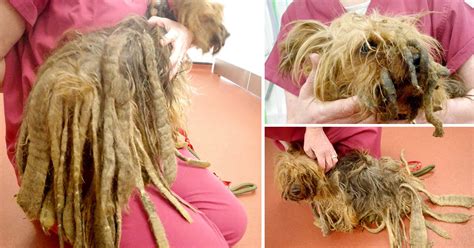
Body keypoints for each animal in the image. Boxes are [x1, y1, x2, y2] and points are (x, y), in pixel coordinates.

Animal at [276, 144, 474, 247]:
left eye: (305, 174)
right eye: (287, 175)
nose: (294, 191)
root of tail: (403, 179)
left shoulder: (343, 202)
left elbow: (346, 216)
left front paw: (343, 226)